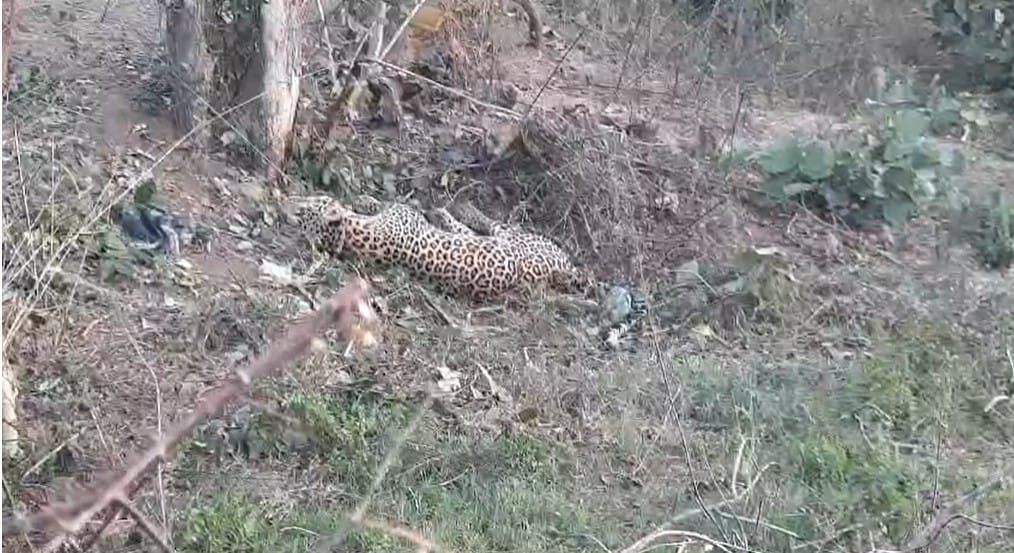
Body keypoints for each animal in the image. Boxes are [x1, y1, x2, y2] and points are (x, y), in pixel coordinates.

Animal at [290, 194, 593, 300]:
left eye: (309, 204)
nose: (291, 200)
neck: (351, 237)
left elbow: (377, 204)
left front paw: (363, 200)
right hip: (511, 240)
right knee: (482, 226)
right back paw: (453, 210)